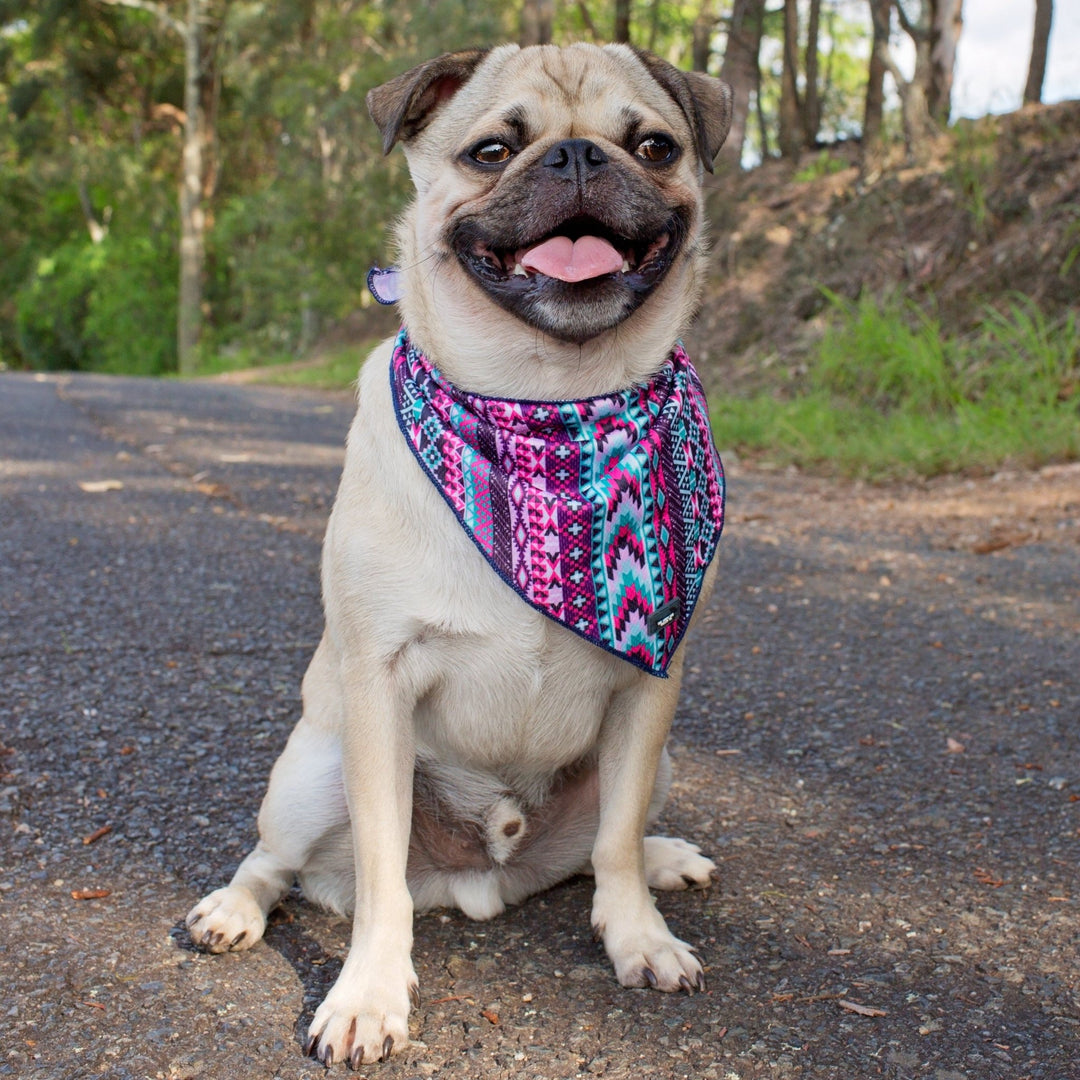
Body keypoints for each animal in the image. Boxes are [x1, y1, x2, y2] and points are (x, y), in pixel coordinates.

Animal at [187, 44, 734, 1071]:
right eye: (492, 151)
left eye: (653, 146)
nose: (576, 157)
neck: (546, 401)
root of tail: (486, 879)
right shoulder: (377, 685)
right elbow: (380, 874)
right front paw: (368, 995)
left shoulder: (653, 689)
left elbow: (614, 842)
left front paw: (637, 936)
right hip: (311, 768)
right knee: (278, 862)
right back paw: (232, 910)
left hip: (667, 761)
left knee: (603, 844)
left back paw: (663, 859)